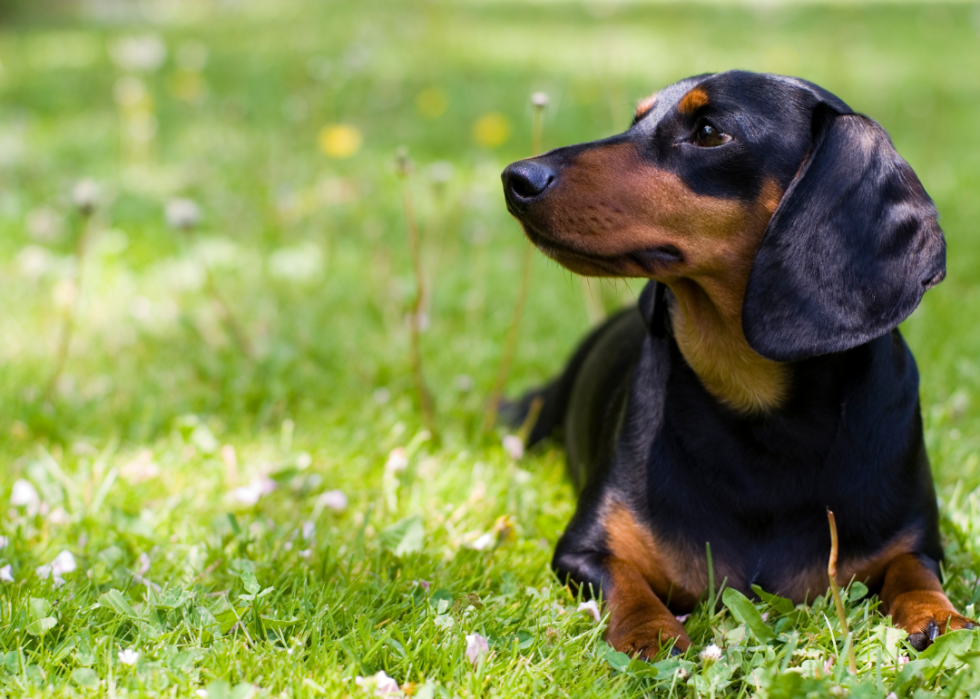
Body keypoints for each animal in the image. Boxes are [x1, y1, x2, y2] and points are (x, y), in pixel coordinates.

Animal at [502, 72, 976, 660]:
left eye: (708, 132)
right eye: (637, 120)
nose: (516, 178)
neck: (757, 410)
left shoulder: (917, 542)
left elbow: (914, 571)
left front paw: (940, 615)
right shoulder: (582, 551)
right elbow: (627, 583)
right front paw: (650, 632)